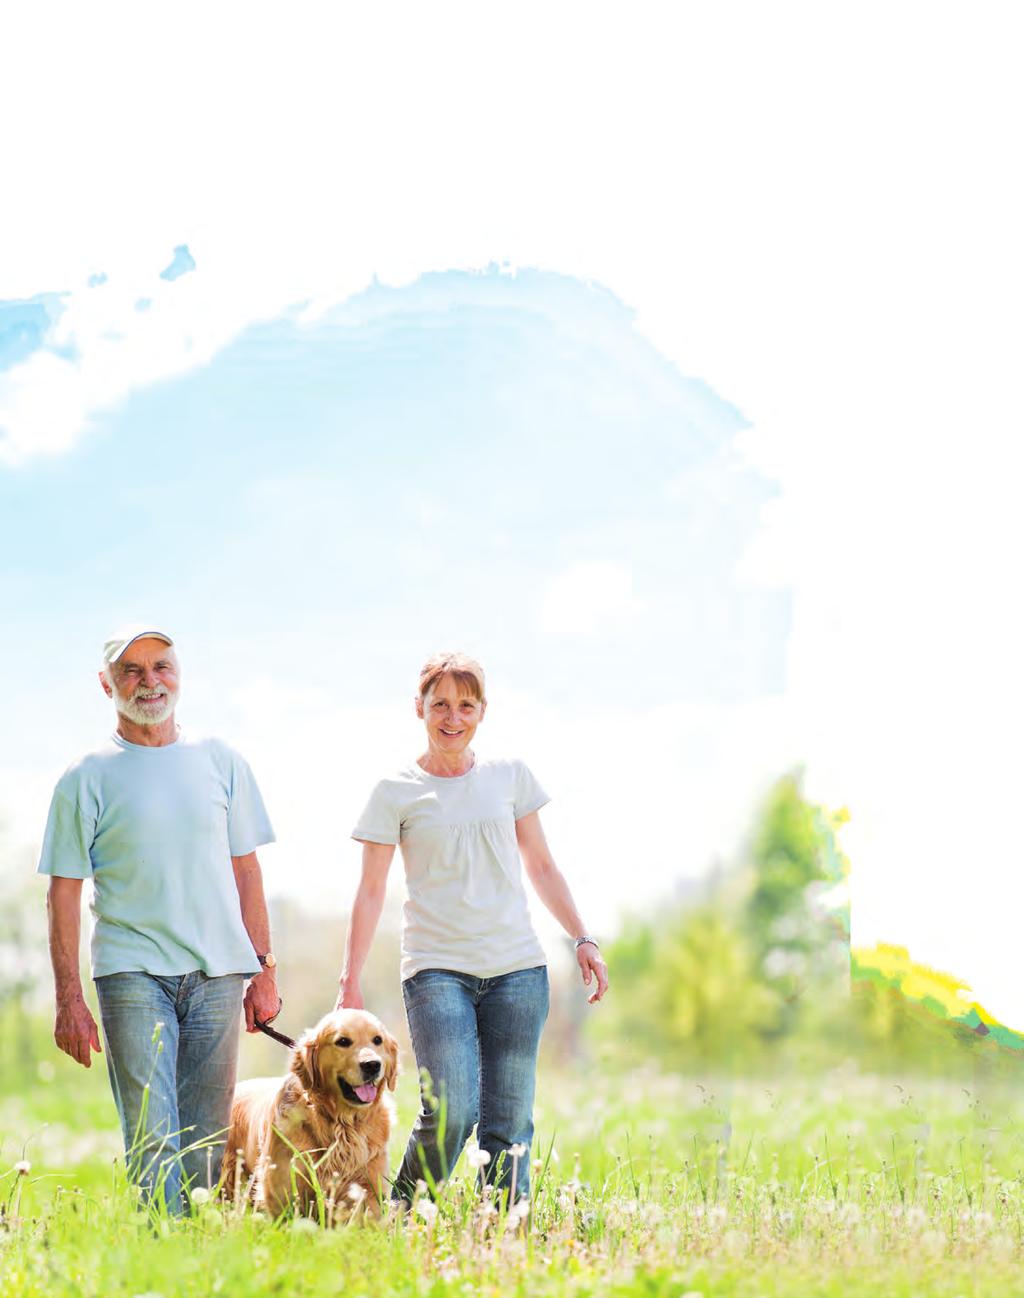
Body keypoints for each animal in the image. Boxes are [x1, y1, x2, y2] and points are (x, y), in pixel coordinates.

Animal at [223, 1002, 394, 1214]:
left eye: (377, 1040)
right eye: (343, 1041)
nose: (372, 1065)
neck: (342, 1123)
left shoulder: (368, 1184)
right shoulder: (281, 1187)